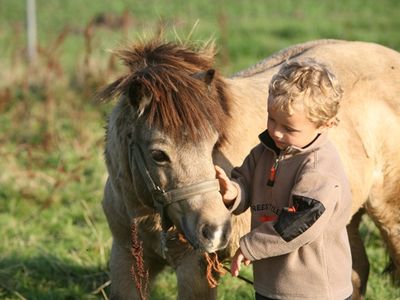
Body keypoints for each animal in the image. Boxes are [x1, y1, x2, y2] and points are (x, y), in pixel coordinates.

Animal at [97, 38, 400, 298]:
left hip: (388, 213)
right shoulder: (126, 260)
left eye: (212, 143)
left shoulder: (194, 271)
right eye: (159, 154)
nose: (216, 232)